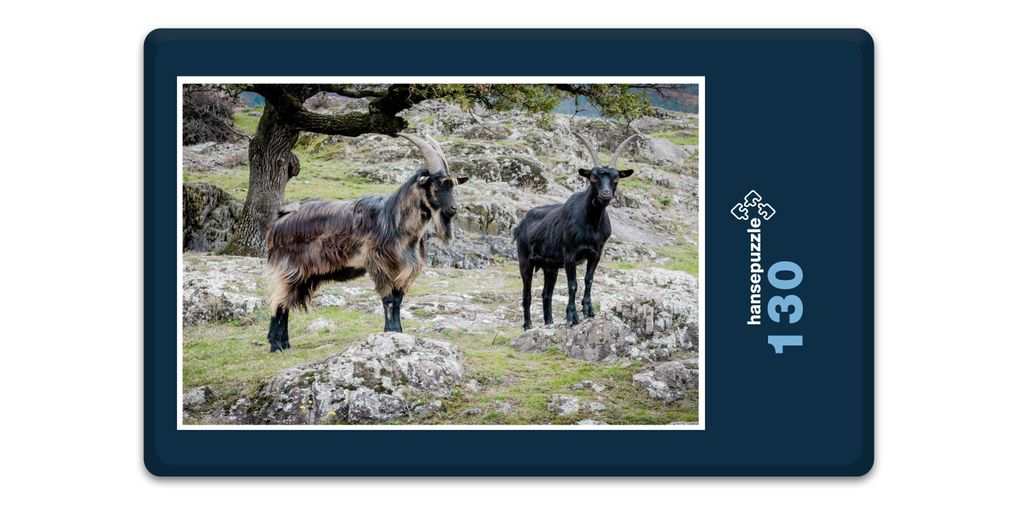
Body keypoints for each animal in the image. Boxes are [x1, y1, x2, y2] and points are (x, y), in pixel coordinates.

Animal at [264, 134, 467, 352]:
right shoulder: (380, 266)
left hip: (305, 275)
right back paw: (276, 345)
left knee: (285, 302)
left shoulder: (402, 270)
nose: (454, 208)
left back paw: (284, 344)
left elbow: (398, 301)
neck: (393, 221)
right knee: (278, 302)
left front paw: (398, 332)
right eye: (436, 185)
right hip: (289, 269)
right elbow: (388, 301)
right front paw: (389, 333)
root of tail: (280, 221)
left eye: (452, 185)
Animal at [513, 131, 638, 330]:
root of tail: (520, 225)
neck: (591, 224)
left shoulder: (596, 253)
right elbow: (573, 284)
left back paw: (549, 322)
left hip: (550, 267)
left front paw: (589, 310)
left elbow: (588, 279)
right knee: (527, 294)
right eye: (593, 178)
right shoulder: (570, 254)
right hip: (525, 260)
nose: (605, 195)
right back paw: (528, 326)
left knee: (546, 294)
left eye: (616, 178)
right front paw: (572, 316)